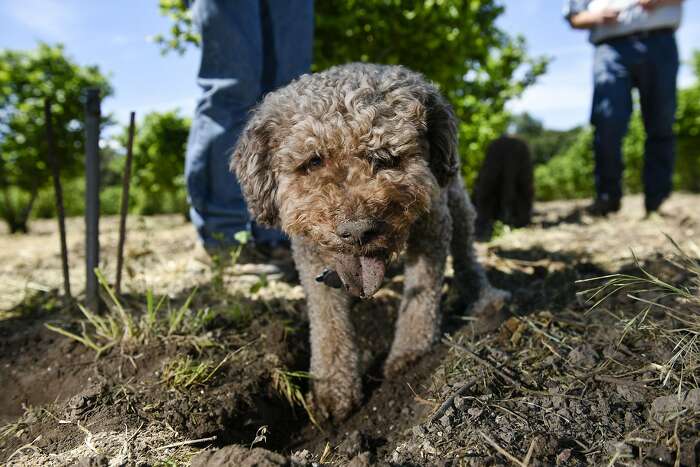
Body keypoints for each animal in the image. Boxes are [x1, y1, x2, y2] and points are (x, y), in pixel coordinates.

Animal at [232, 63, 506, 420]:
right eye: (313, 161)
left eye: (387, 156)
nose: (358, 231)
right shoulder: (310, 253)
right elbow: (327, 319)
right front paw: (332, 387)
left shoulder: (433, 224)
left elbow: (422, 295)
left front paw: (411, 354)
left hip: (456, 200)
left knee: (465, 252)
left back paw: (485, 299)